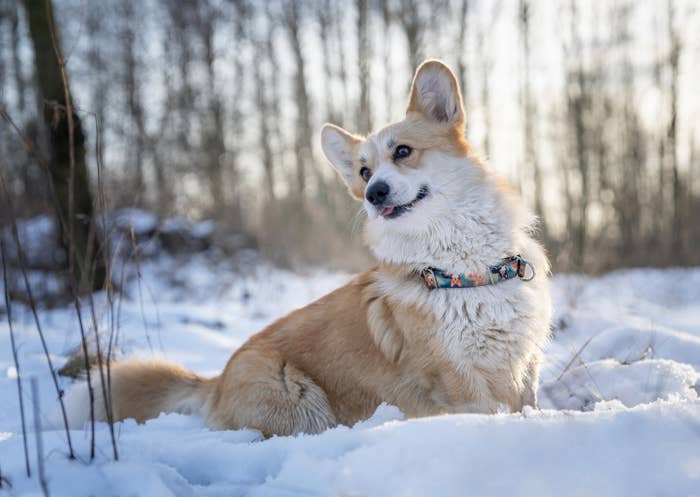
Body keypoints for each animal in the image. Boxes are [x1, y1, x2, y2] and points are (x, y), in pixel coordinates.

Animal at [68, 60, 556, 436]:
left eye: (402, 151)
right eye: (363, 172)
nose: (374, 194)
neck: (466, 271)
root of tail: (216, 380)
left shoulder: (525, 370)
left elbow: (528, 405)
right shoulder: (459, 381)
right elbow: (485, 410)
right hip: (300, 398)